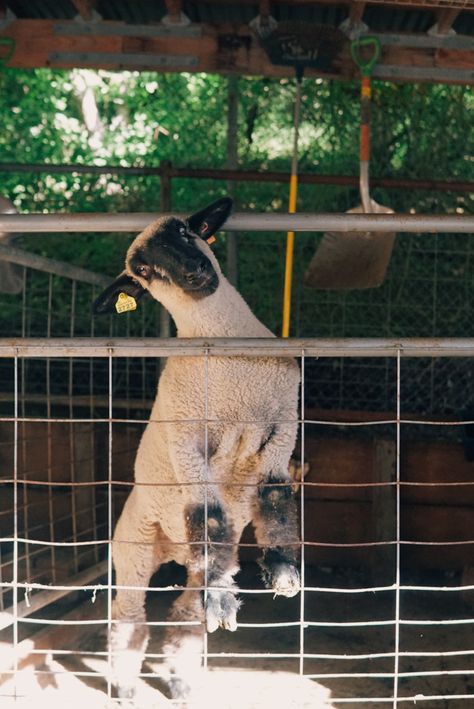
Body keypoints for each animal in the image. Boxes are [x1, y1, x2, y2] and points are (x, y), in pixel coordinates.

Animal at [92, 196, 300, 700]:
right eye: (144, 270)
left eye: (187, 232)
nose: (193, 270)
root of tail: (173, 552)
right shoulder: (188, 438)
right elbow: (210, 513)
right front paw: (228, 596)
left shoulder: (284, 422)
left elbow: (276, 494)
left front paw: (283, 570)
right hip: (132, 548)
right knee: (129, 618)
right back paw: (126, 687)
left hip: (195, 563)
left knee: (186, 615)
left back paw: (184, 679)